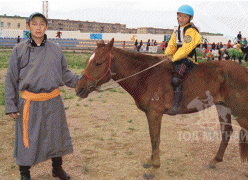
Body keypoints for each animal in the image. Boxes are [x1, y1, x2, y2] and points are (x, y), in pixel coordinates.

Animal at [75, 38, 248, 179]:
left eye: (98, 62)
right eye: (87, 61)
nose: (79, 88)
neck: (146, 76)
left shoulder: (154, 114)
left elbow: (155, 139)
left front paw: (154, 168)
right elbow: (153, 138)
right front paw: (151, 161)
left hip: (240, 113)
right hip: (222, 107)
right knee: (226, 132)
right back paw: (215, 160)